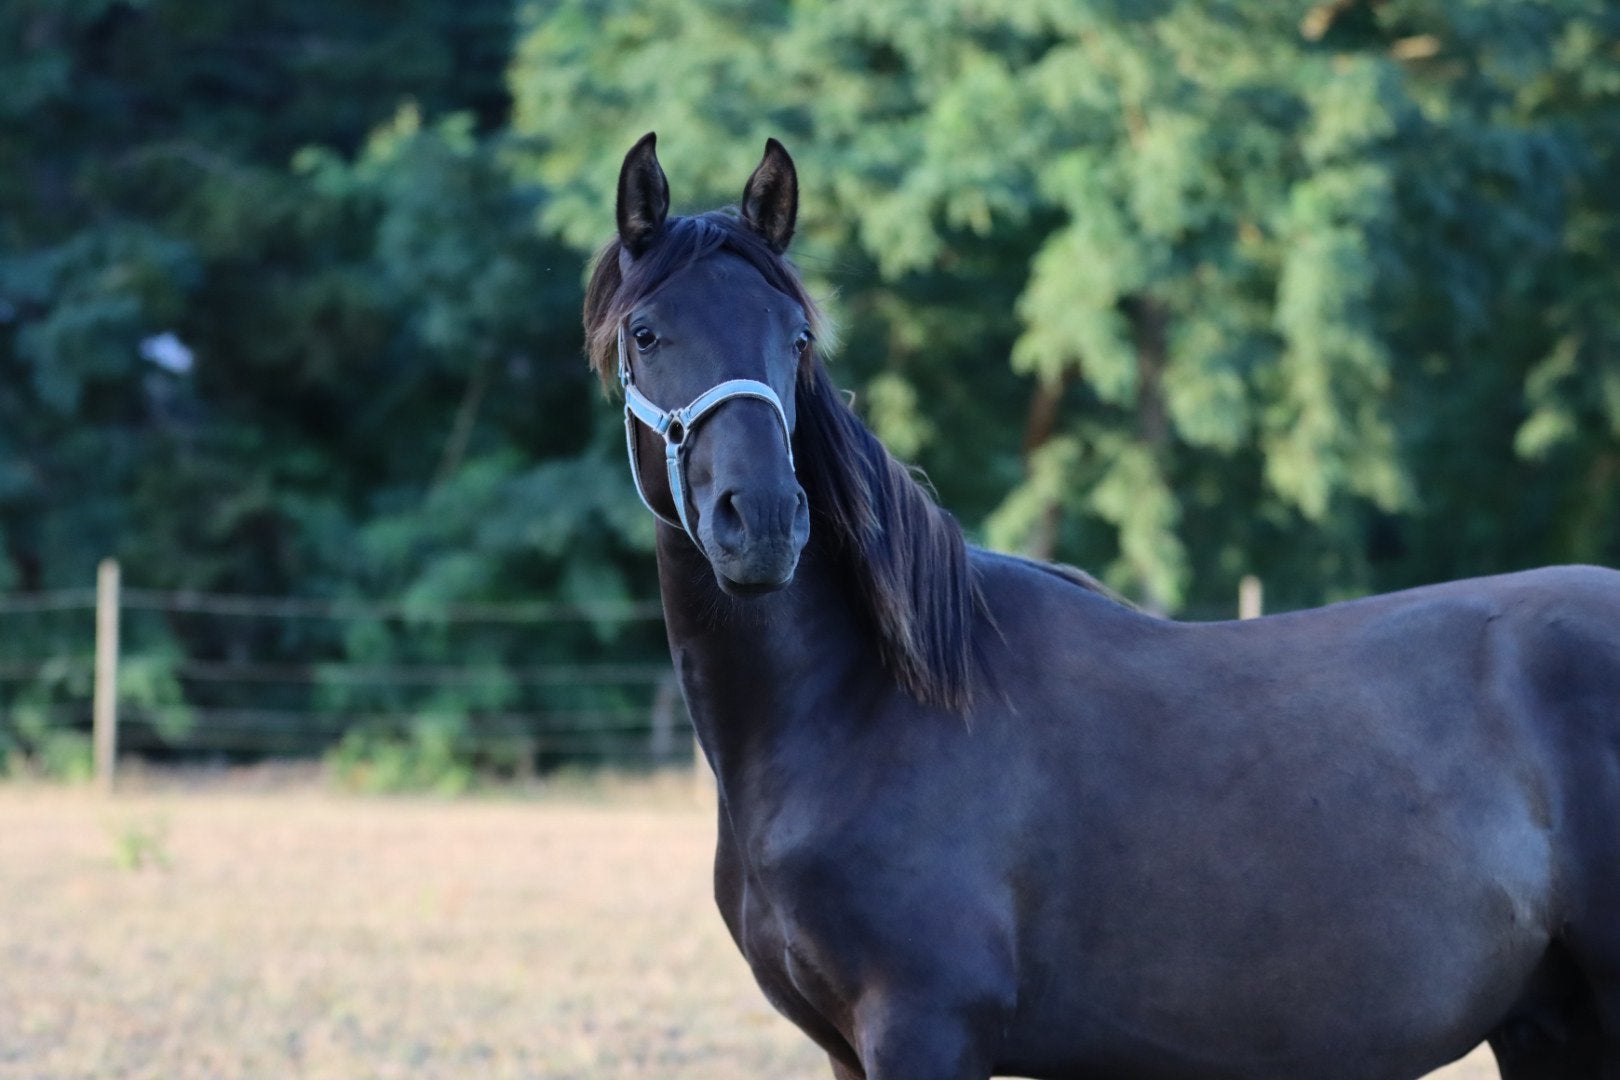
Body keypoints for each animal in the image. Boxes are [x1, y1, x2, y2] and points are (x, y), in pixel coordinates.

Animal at [582, 132, 1620, 1080]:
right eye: (646, 334)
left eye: (797, 340)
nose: (760, 521)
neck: (860, 709)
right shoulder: (849, 1049)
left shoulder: (924, 1029)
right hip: (1550, 1027)